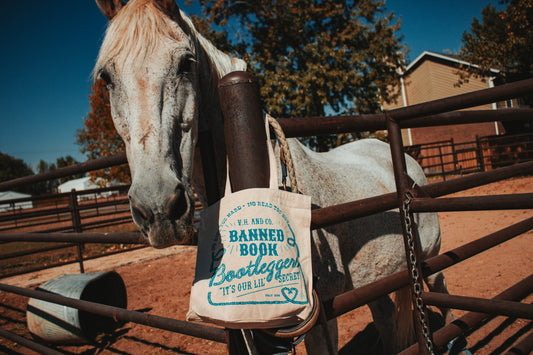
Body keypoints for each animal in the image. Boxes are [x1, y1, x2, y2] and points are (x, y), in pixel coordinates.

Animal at [93, 0, 446, 354]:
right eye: (106, 77)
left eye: (185, 63)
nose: (158, 209)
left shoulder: (320, 321)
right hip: (378, 277)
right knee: (387, 319)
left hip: (430, 259)